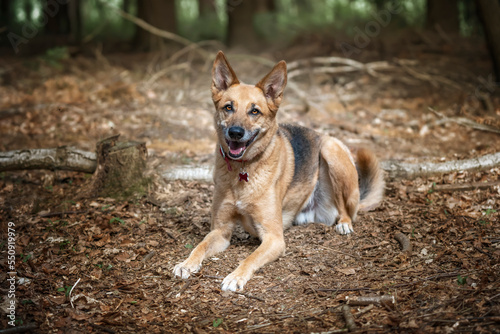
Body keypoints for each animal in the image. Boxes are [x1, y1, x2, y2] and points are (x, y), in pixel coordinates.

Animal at [174, 51, 384, 290]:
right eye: (228, 107)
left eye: (254, 111)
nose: (235, 132)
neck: (243, 169)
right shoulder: (220, 230)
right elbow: (200, 245)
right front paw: (186, 263)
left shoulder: (274, 238)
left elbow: (250, 258)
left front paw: (235, 277)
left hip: (331, 151)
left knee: (346, 209)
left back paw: (344, 224)